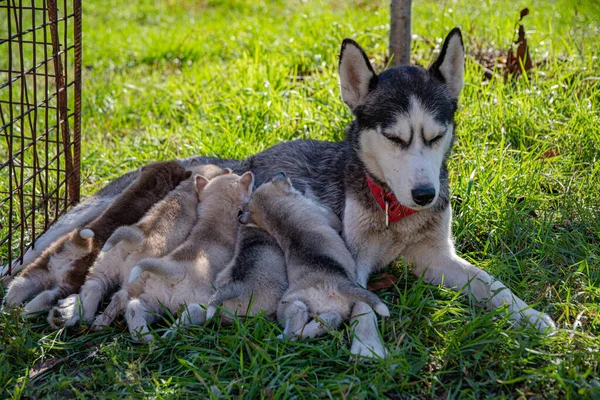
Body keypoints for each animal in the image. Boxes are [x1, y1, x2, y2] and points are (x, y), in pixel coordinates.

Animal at [46, 164, 230, 330]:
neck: (187, 189)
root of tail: (134, 239)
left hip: (103, 267)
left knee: (93, 286)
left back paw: (88, 317)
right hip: (135, 281)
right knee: (120, 296)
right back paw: (100, 322)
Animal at [115, 170, 253, 342]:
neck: (214, 223)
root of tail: (175, 269)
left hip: (153, 300)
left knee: (134, 308)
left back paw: (148, 338)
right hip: (202, 303)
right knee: (191, 314)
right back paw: (170, 335)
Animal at [234, 173, 390, 340]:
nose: (282, 173)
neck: (278, 214)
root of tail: (335, 283)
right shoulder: (330, 217)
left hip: (327, 309)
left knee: (326, 320)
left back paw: (307, 332)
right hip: (291, 304)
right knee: (294, 326)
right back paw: (278, 338)